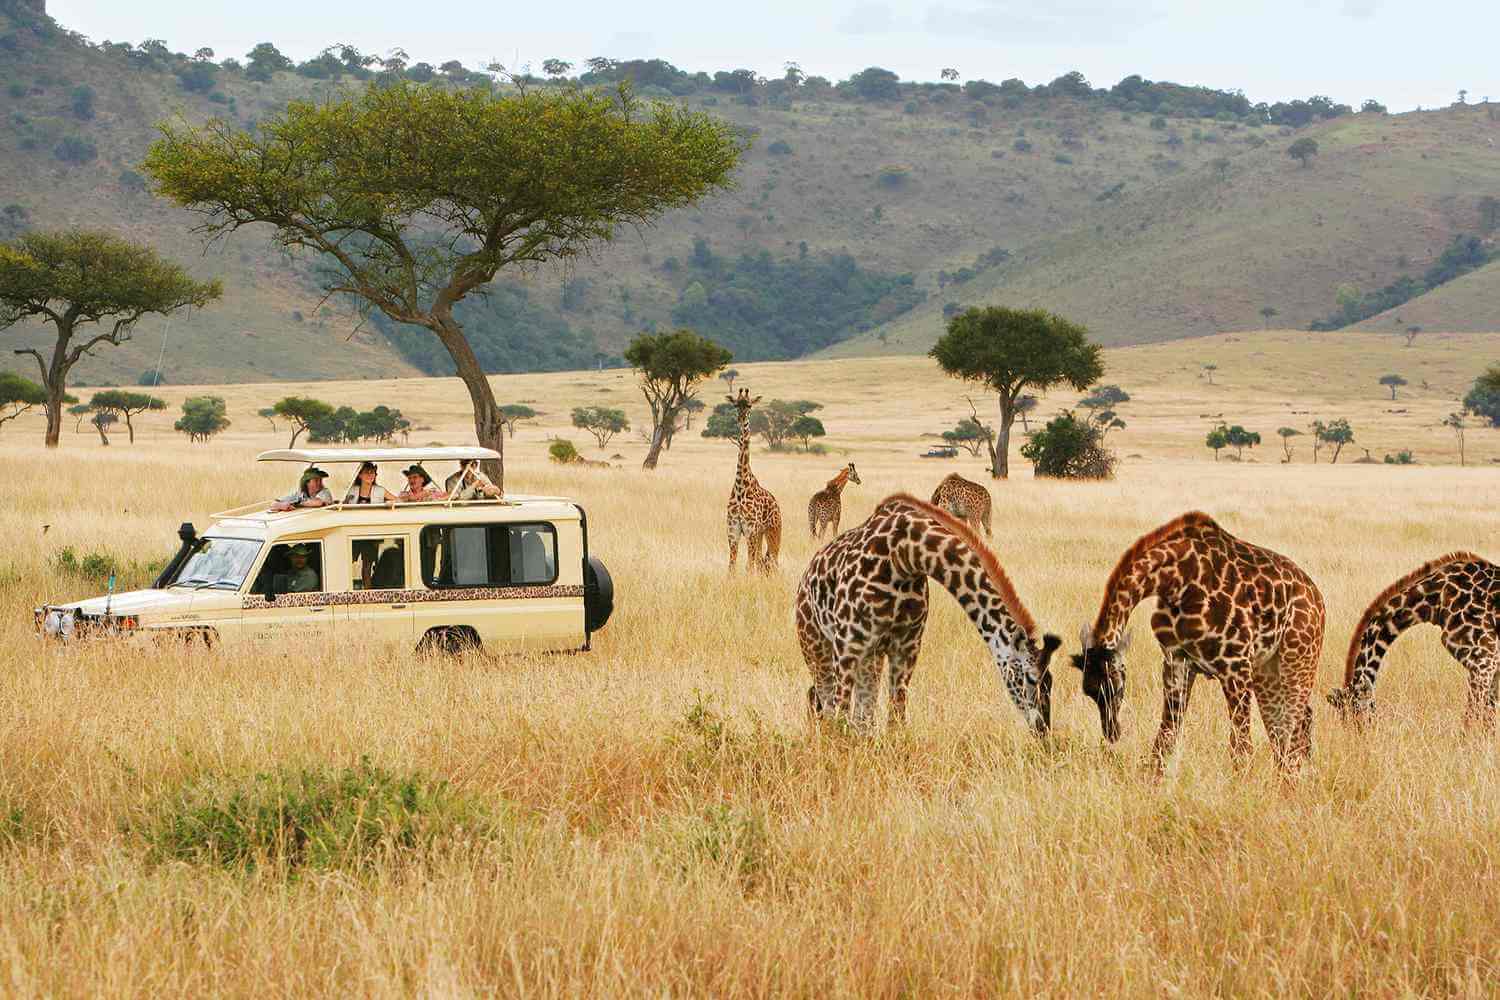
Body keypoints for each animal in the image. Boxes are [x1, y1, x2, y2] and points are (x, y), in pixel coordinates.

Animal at [726, 389, 786, 578]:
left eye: (750, 405)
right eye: (736, 405)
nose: (741, 419)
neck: (741, 486)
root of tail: (776, 502)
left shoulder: (750, 530)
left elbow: (749, 566)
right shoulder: (733, 531)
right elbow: (732, 566)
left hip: (773, 531)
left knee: (772, 561)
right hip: (760, 535)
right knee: (761, 561)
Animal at [792, 491, 1062, 734]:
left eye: (1050, 681)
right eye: (1030, 678)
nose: (1043, 729)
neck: (905, 555)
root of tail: (805, 578)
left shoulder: (906, 646)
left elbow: (896, 719)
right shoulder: (847, 645)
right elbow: (840, 716)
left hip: (871, 656)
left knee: (861, 716)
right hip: (816, 645)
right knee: (825, 704)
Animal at [1074, 512, 1332, 779]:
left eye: (1116, 688)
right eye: (1089, 692)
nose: (1112, 733)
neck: (1176, 581)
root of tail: (1317, 596)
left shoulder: (1236, 664)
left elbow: (1241, 748)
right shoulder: (1177, 660)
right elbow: (1166, 738)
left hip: (1298, 658)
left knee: (1293, 725)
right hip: (1266, 670)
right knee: (1288, 727)